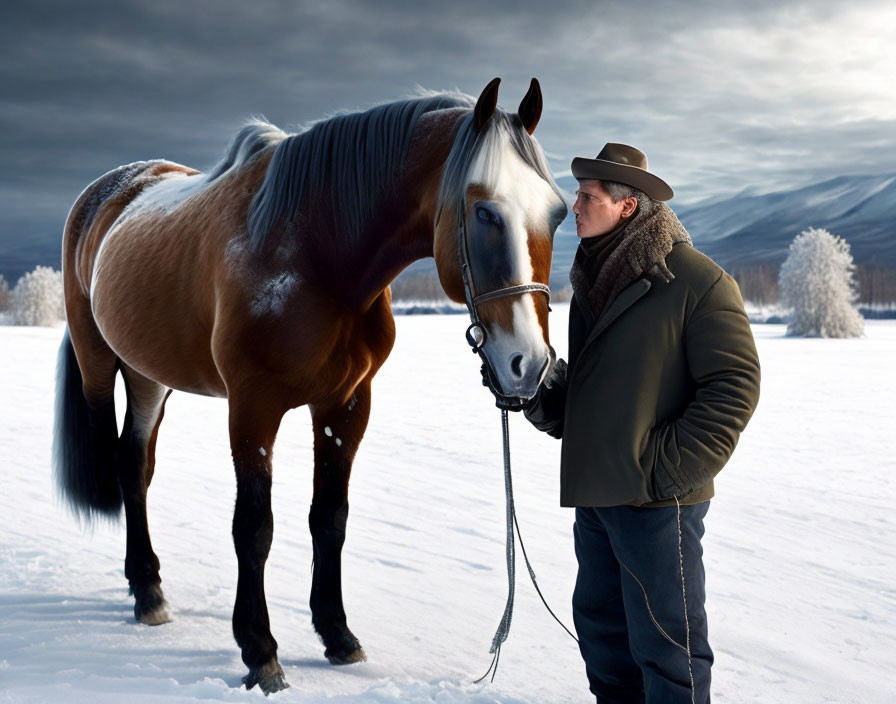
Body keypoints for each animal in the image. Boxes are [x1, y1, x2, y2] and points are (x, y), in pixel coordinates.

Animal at [54, 77, 568, 692]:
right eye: (484, 211)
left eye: (558, 213)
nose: (529, 365)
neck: (314, 251)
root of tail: (110, 192)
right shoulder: (253, 407)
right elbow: (254, 528)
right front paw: (260, 651)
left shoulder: (345, 404)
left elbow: (329, 519)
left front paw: (337, 634)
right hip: (100, 367)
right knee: (123, 462)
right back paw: (146, 591)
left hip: (149, 377)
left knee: (135, 466)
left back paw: (149, 589)